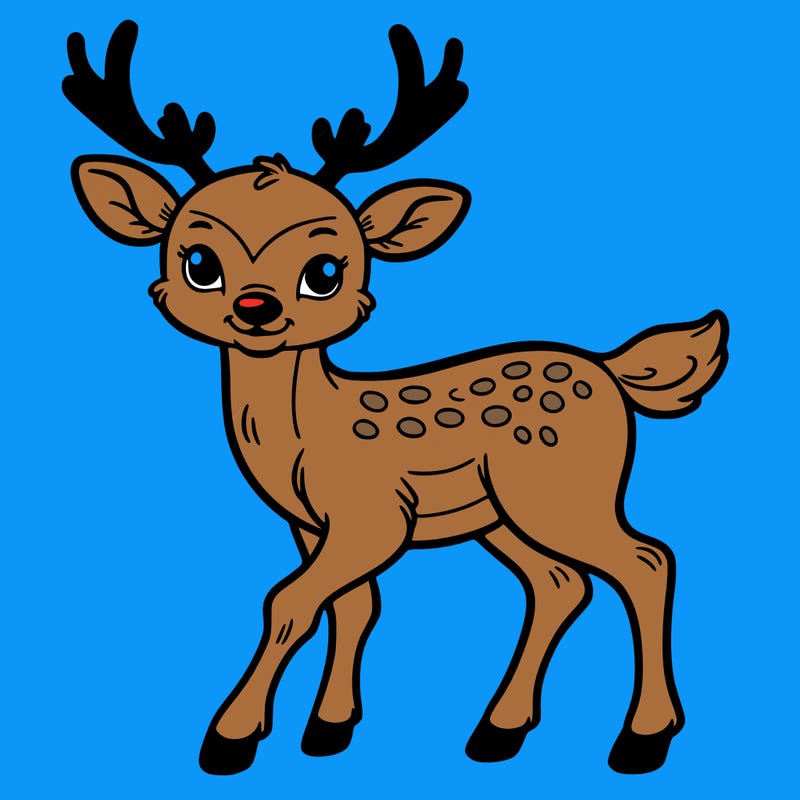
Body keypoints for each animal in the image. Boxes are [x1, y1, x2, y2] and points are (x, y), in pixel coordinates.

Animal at [64, 20, 728, 777]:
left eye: (325, 270)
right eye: (200, 263)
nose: (256, 308)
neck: (305, 435)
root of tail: (612, 371)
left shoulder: (372, 516)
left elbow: (289, 600)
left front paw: (231, 737)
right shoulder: (313, 524)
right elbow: (353, 605)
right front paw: (328, 728)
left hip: (564, 491)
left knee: (646, 560)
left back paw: (642, 738)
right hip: (503, 514)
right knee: (561, 583)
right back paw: (498, 730)